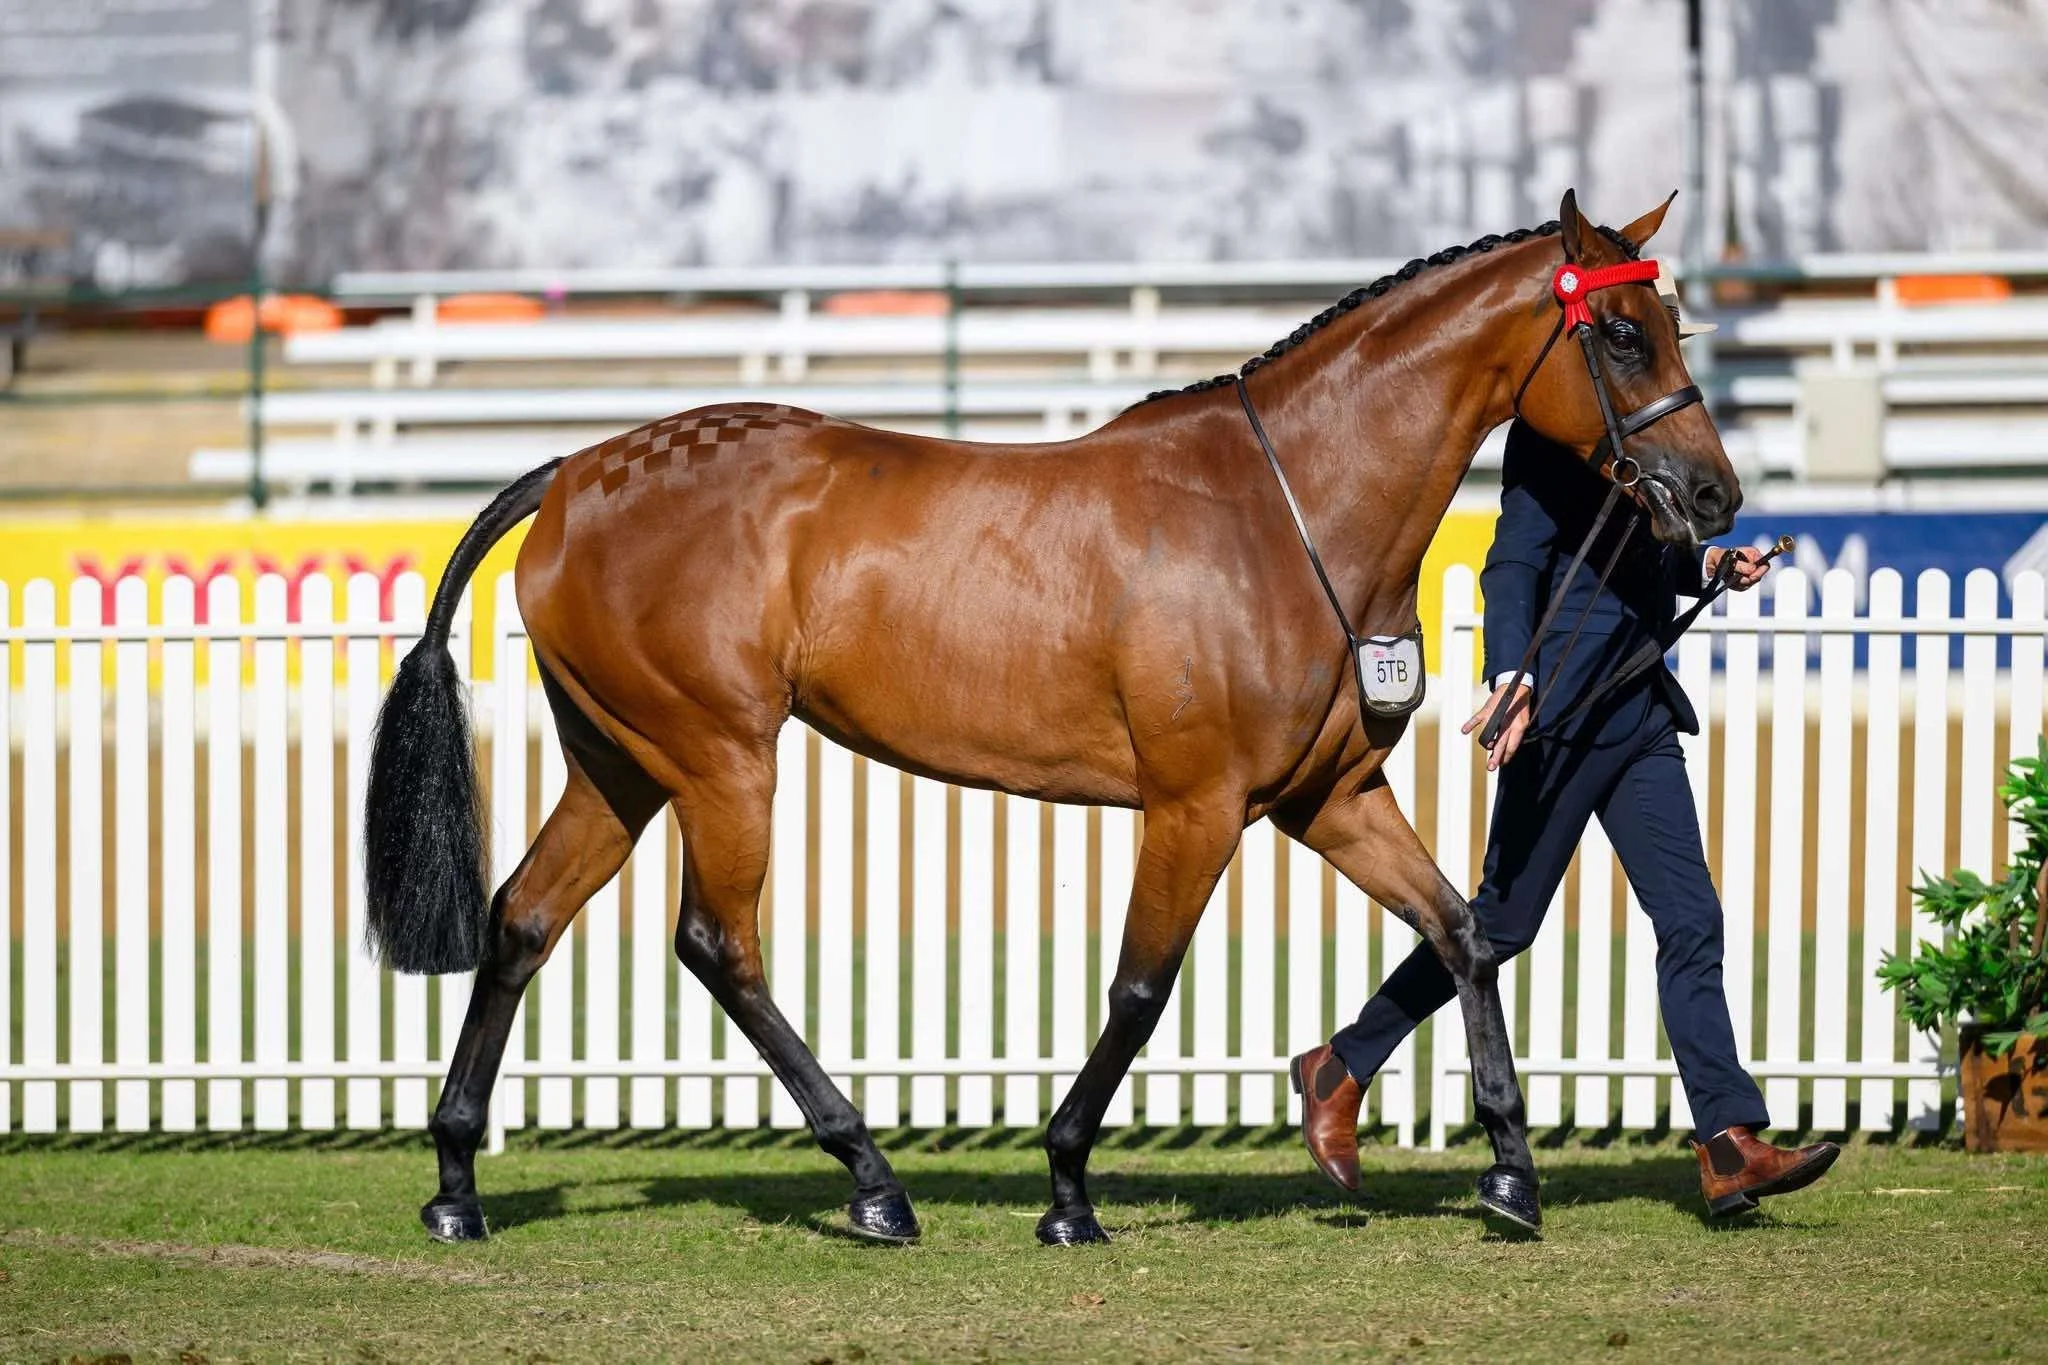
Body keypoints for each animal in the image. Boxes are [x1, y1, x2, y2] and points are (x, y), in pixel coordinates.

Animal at [364, 189, 1738, 1247]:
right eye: (1621, 334)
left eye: (1672, 324)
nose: (1712, 498)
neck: (1284, 510)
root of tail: (579, 474)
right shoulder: (1195, 806)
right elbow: (1139, 985)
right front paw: (1068, 1185)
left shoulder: (1327, 800)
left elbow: (1457, 929)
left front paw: (1508, 1172)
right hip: (720, 758)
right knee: (718, 945)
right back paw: (872, 1182)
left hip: (621, 761)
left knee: (522, 919)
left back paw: (454, 1183)